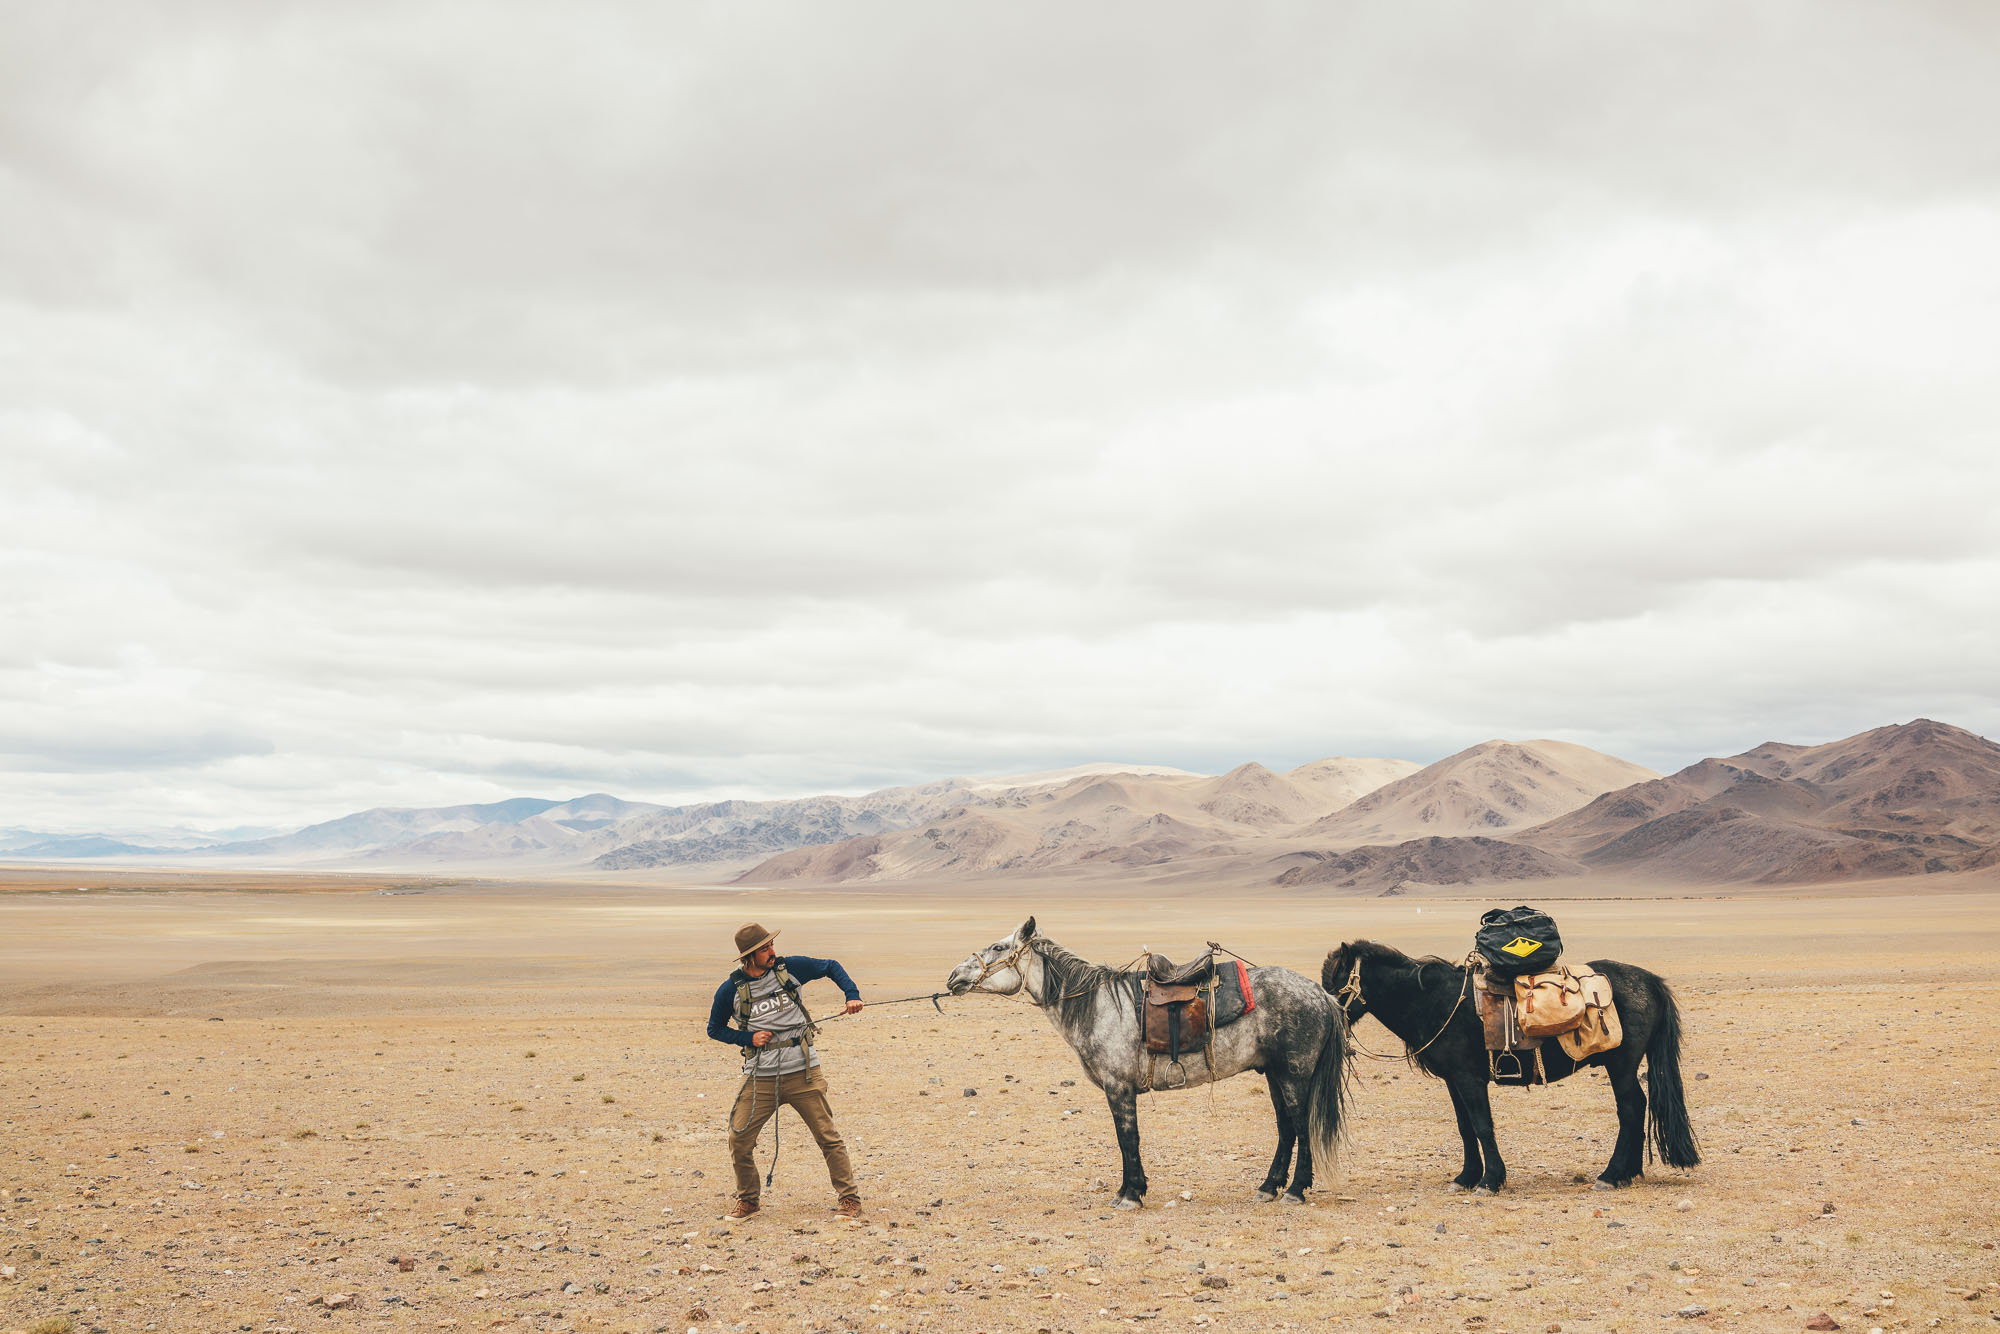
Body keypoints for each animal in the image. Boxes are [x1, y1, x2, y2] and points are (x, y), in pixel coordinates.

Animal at [948, 920, 1352, 1208]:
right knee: (1286, 1128)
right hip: (1274, 1074)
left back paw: (1295, 1191)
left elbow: (1127, 1138)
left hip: (1294, 1074)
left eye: (999, 947)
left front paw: (1129, 1194)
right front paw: (1133, 1189)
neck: (1095, 1005)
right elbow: (1129, 1139)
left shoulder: (1118, 1086)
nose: (954, 976)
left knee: (1300, 1126)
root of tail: (1323, 995)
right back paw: (1268, 1187)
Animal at [1320, 944, 1696, 1192]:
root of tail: (1649, 981)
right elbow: (1465, 1128)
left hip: (1621, 1064)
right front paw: (1466, 1177)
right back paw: (1628, 1172)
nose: (1327, 1015)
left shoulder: (1470, 1079)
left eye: (1335, 981)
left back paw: (1610, 1175)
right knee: (1639, 1106)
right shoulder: (1454, 1080)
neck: (1433, 1001)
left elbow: (1482, 1126)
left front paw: (1490, 1180)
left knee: (1630, 1109)